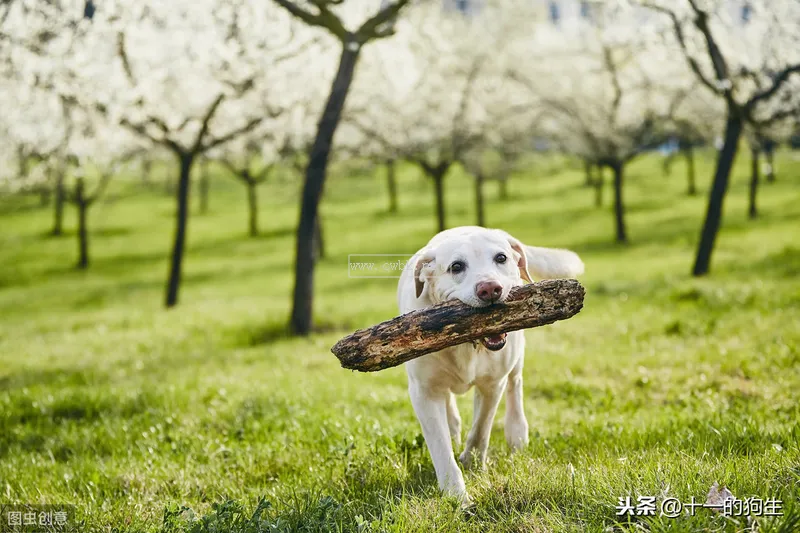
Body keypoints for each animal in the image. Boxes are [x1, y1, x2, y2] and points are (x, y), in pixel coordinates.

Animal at [396, 227, 584, 500]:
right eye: (456, 266)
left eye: (501, 258)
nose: (490, 289)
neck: (467, 342)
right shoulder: (423, 392)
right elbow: (441, 447)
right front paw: (457, 497)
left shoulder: (493, 383)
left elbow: (481, 428)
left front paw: (472, 462)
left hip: (515, 357)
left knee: (515, 386)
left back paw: (517, 434)